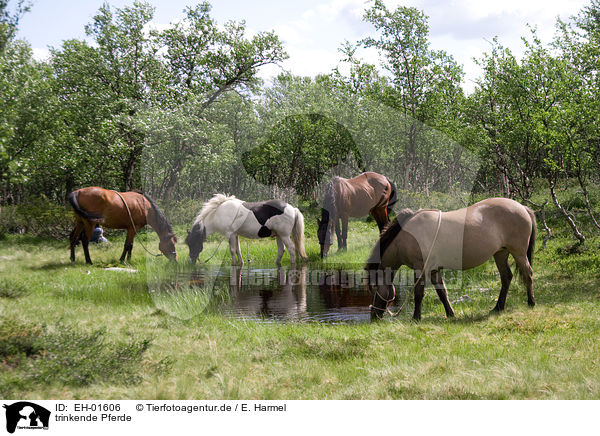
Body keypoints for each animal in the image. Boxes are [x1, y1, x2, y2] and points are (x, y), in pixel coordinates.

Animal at [366, 198, 540, 320]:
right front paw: (450, 313)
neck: (409, 235)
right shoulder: (434, 269)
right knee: (506, 277)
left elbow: (418, 293)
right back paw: (498, 307)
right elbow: (442, 292)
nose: (373, 315)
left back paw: (531, 303)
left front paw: (416, 318)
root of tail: (522, 207)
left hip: (518, 253)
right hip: (500, 253)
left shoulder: (420, 268)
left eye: (374, 289)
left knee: (528, 274)